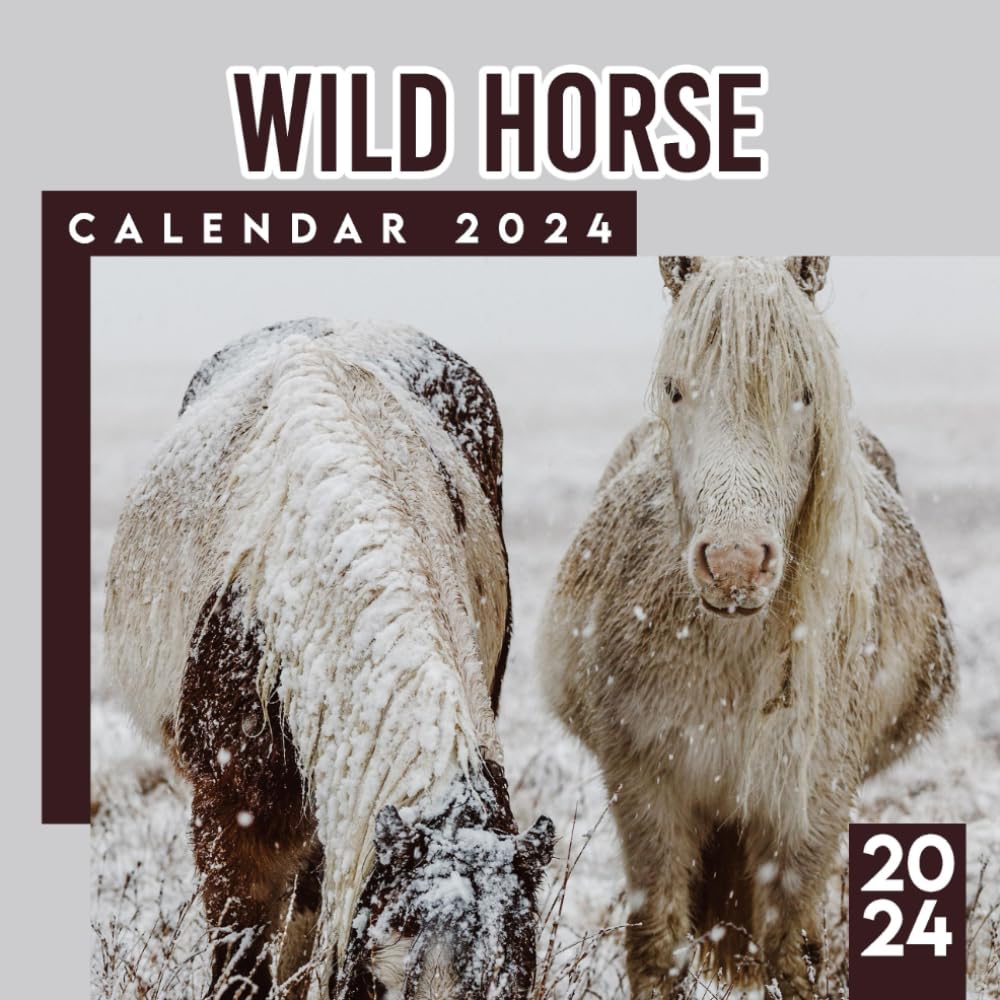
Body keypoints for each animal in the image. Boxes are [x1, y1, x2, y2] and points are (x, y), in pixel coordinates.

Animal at [536, 257, 955, 998]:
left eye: (805, 392)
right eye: (676, 389)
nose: (734, 564)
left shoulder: (811, 802)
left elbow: (796, 952)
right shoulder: (645, 786)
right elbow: (658, 947)